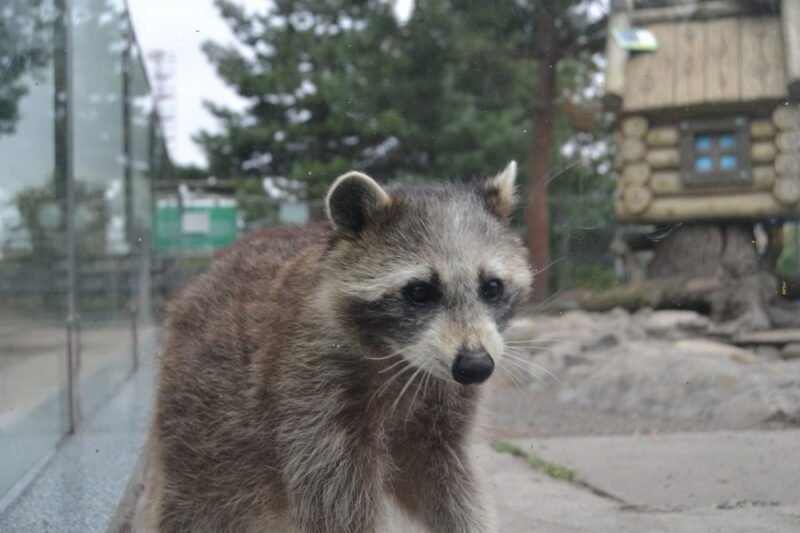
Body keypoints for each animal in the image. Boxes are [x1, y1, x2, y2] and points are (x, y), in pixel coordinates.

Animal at [144, 162, 532, 532]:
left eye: (492, 287)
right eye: (420, 292)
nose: (475, 367)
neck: (400, 358)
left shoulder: (442, 406)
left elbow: (448, 484)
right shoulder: (308, 390)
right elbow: (336, 500)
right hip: (204, 431)